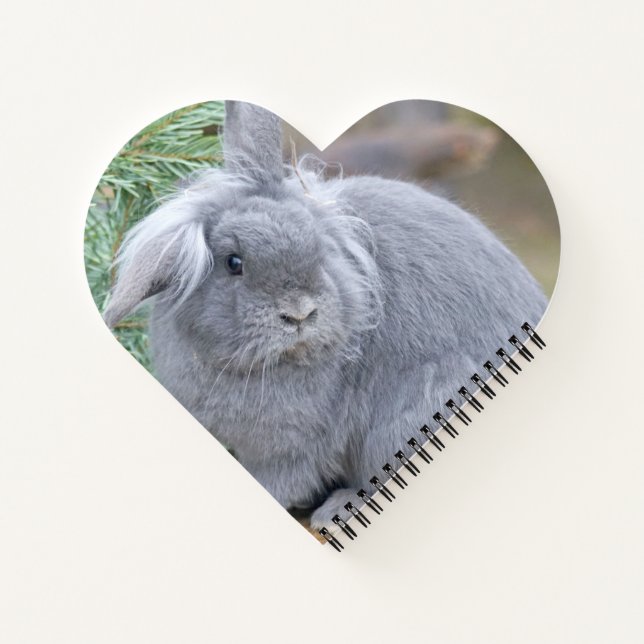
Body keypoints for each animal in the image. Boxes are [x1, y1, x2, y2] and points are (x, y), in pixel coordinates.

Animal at [104, 100, 548, 529]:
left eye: (318, 249)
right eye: (234, 263)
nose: (300, 313)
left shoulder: (291, 448)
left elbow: (282, 482)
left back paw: (338, 509)